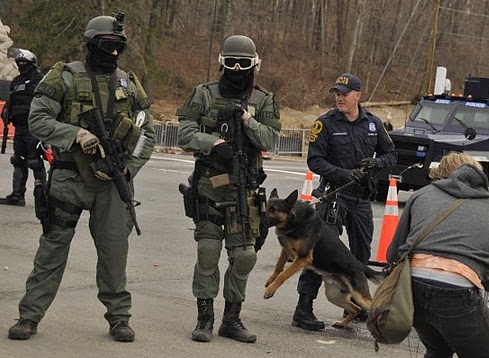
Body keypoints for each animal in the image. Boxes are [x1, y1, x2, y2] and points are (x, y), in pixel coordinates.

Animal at [264, 189, 382, 328]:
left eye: (273, 210)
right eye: (266, 207)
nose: (260, 221)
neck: (295, 221)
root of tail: (360, 264)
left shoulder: (303, 258)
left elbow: (283, 274)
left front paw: (270, 290)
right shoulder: (286, 250)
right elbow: (279, 266)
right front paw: (271, 280)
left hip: (359, 296)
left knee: (370, 307)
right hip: (333, 295)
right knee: (355, 309)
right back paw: (342, 323)